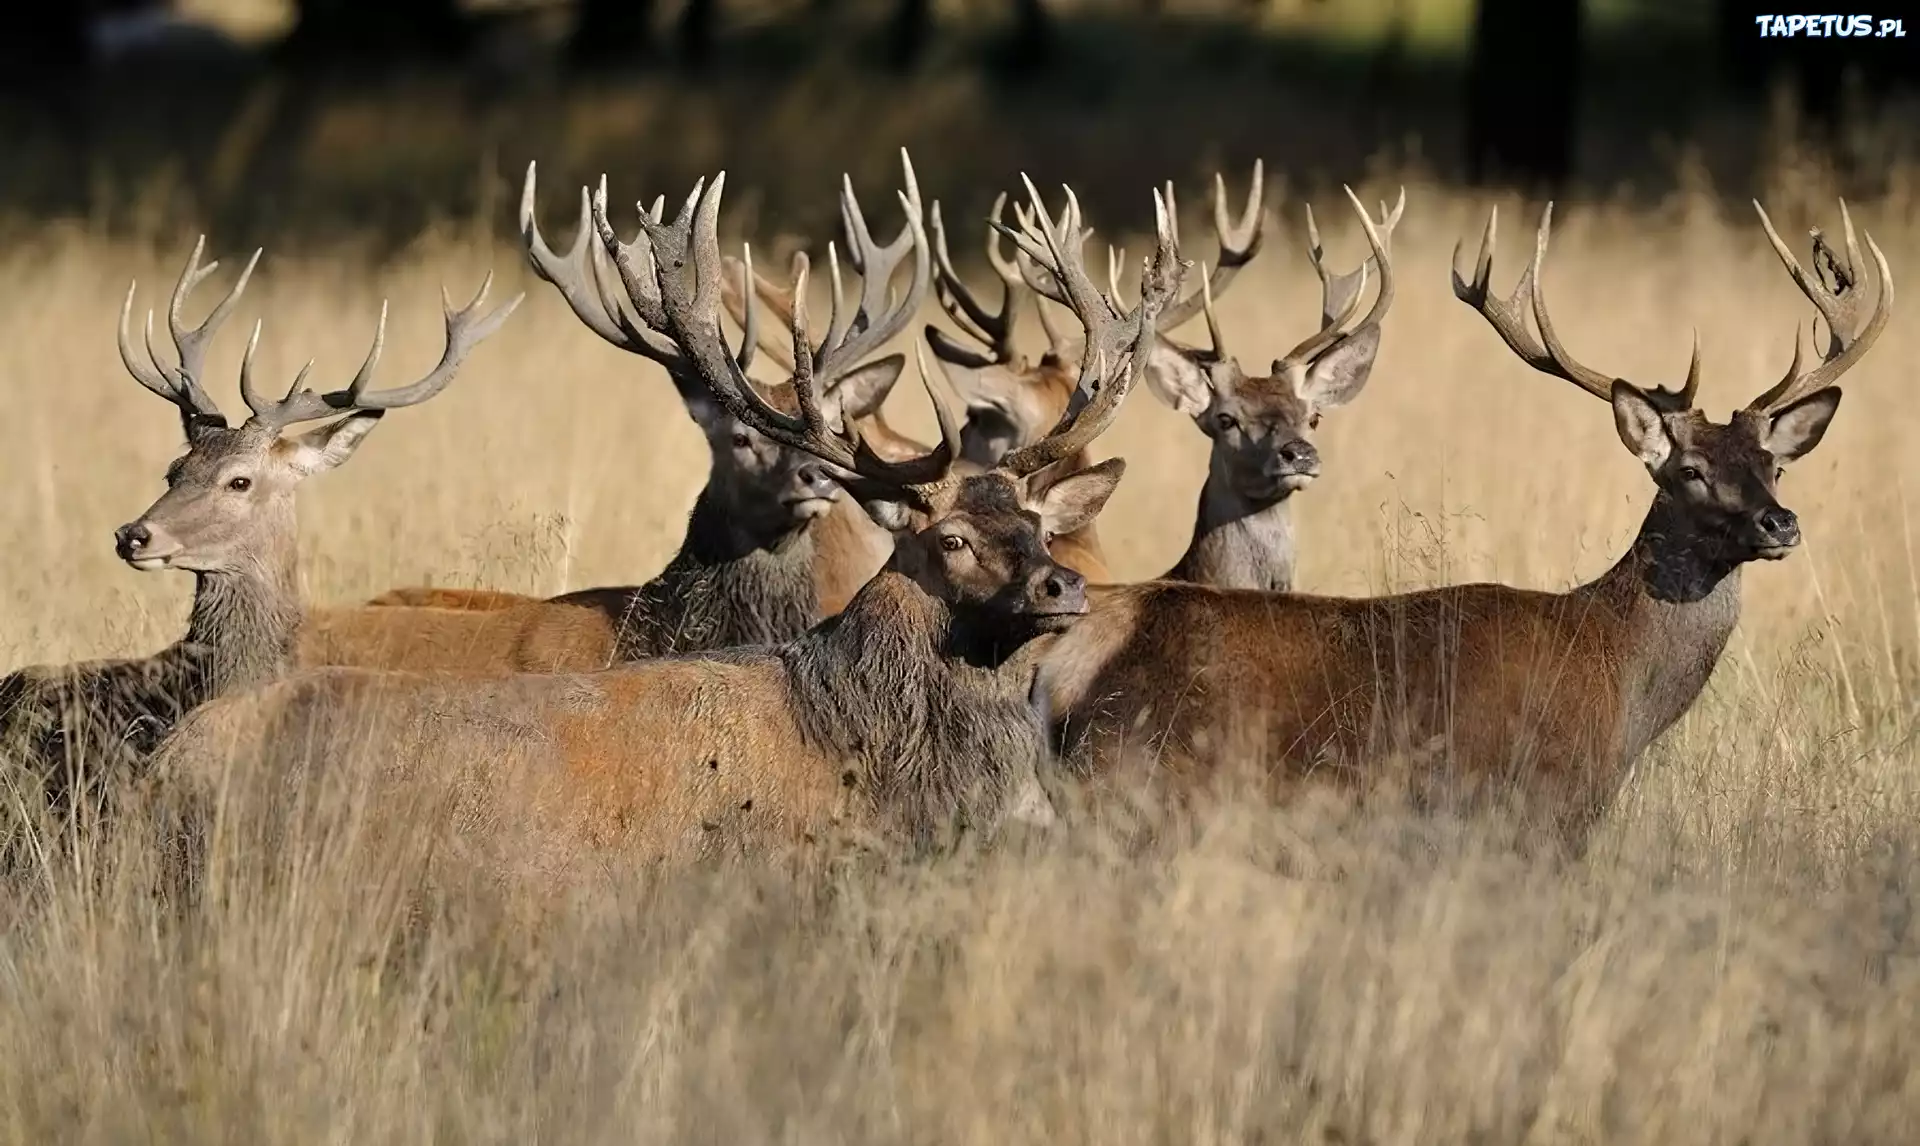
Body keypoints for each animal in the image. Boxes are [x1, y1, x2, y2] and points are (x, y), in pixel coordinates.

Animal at [1036, 196, 1889, 844]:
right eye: (1689, 471)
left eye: (1774, 464)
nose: (1780, 524)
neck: (1619, 677)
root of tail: (1061, 668)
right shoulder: (1534, 808)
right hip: (1139, 785)